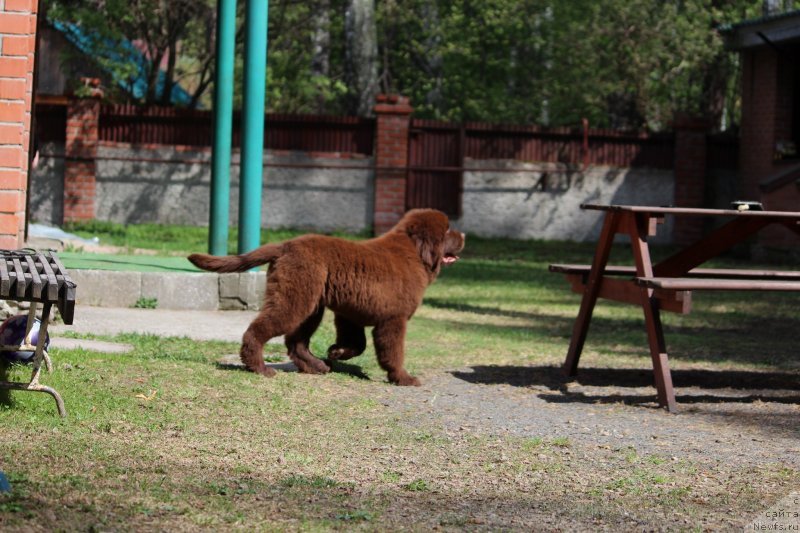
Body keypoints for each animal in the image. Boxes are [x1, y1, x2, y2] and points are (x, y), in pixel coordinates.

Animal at [188, 209, 466, 386]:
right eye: (448, 230)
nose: (464, 236)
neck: (415, 254)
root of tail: (285, 245)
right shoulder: (393, 319)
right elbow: (392, 352)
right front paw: (403, 378)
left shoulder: (350, 313)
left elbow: (358, 343)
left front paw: (336, 352)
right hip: (295, 299)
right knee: (259, 331)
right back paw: (259, 367)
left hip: (310, 304)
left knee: (295, 342)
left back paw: (315, 366)